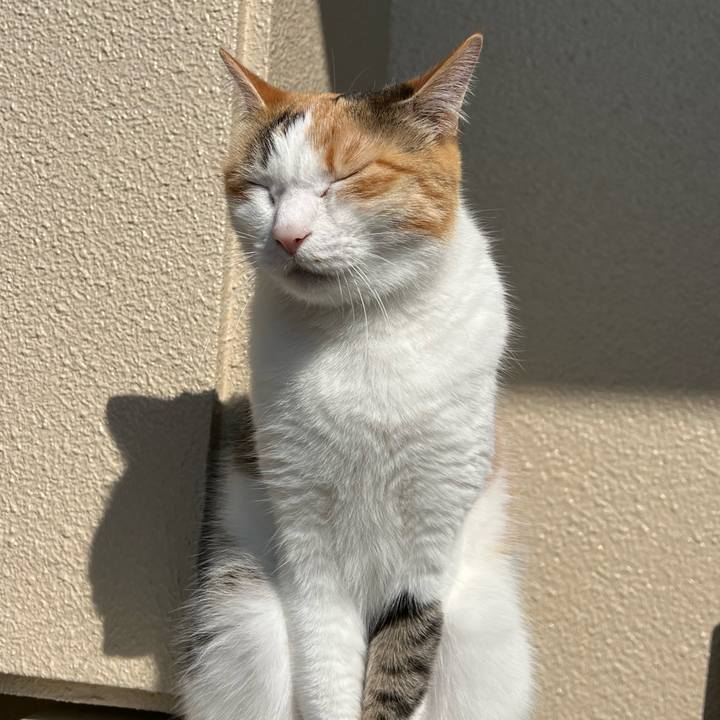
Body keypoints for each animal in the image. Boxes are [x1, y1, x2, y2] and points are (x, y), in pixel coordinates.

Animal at [178, 33, 532, 720]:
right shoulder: (307, 537)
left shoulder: (431, 536)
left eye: (345, 177)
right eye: (260, 187)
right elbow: (326, 673)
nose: (287, 235)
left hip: (485, 636)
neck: (364, 329)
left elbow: (401, 663)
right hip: (244, 617)